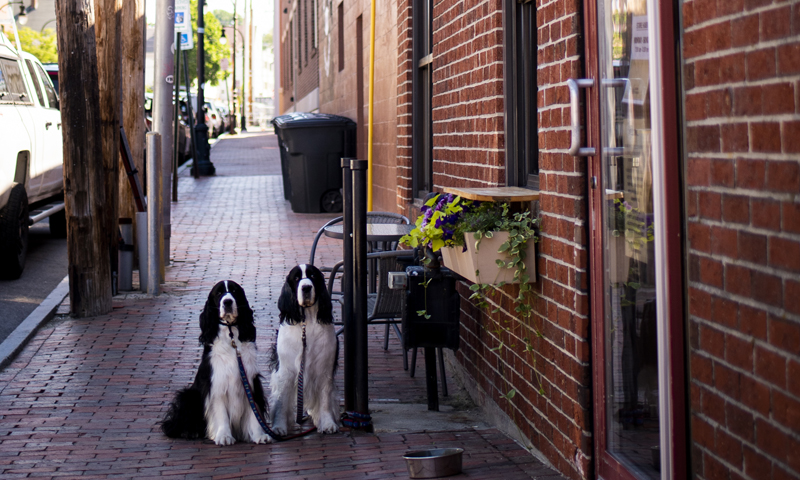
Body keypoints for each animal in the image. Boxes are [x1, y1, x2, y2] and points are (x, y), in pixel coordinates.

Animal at [159, 282, 272, 446]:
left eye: (234, 291)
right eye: (218, 293)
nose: (227, 302)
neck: (231, 337)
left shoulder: (251, 380)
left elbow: (254, 411)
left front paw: (259, 435)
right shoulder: (216, 383)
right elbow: (220, 412)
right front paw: (224, 436)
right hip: (188, 395)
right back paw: (190, 432)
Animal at [270, 264, 340, 436]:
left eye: (313, 276)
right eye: (296, 278)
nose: (306, 287)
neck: (306, 323)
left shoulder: (324, 368)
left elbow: (325, 399)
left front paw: (328, 423)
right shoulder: (285, 371)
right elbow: (282, 401)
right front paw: (279, 426)